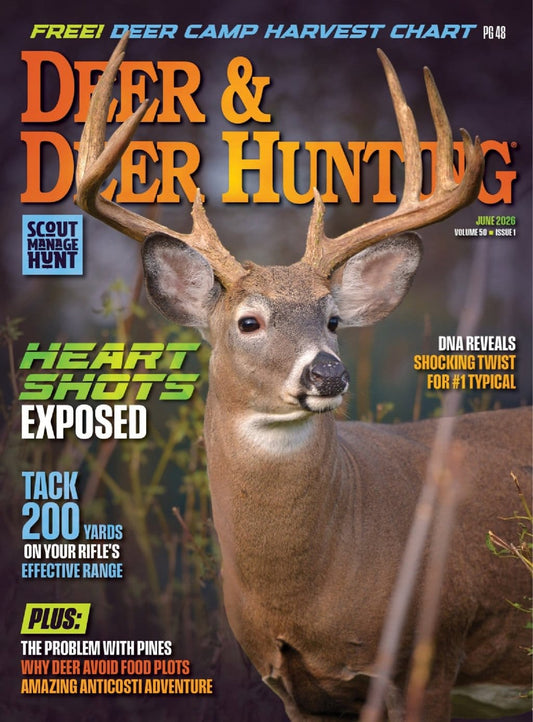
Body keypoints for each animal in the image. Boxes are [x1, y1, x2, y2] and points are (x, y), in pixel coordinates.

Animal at [75, 34, 532, 721]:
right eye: (249, 321)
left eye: (334, 319)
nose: (328, 371)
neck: (306, 599)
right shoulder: (294, 688)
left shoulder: (428, 653)